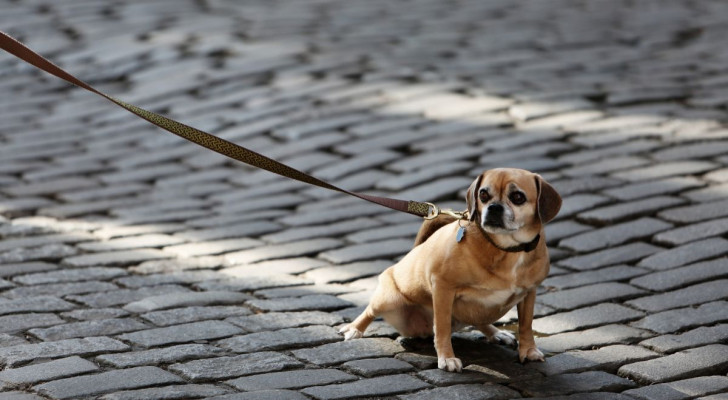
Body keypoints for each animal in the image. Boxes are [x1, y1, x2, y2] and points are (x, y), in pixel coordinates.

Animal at [338, 167, 560, 370]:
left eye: (517, 197)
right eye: (483, 195)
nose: (494, 207)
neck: (506, 249)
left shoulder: (529, 292)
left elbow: (526, 324)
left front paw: (528, 350)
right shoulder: (443, 287)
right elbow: (442, 327)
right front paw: (446, 358)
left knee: (479, 319)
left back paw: (497, 333)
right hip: (387, 300)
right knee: (369, 311)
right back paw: (354, 329)